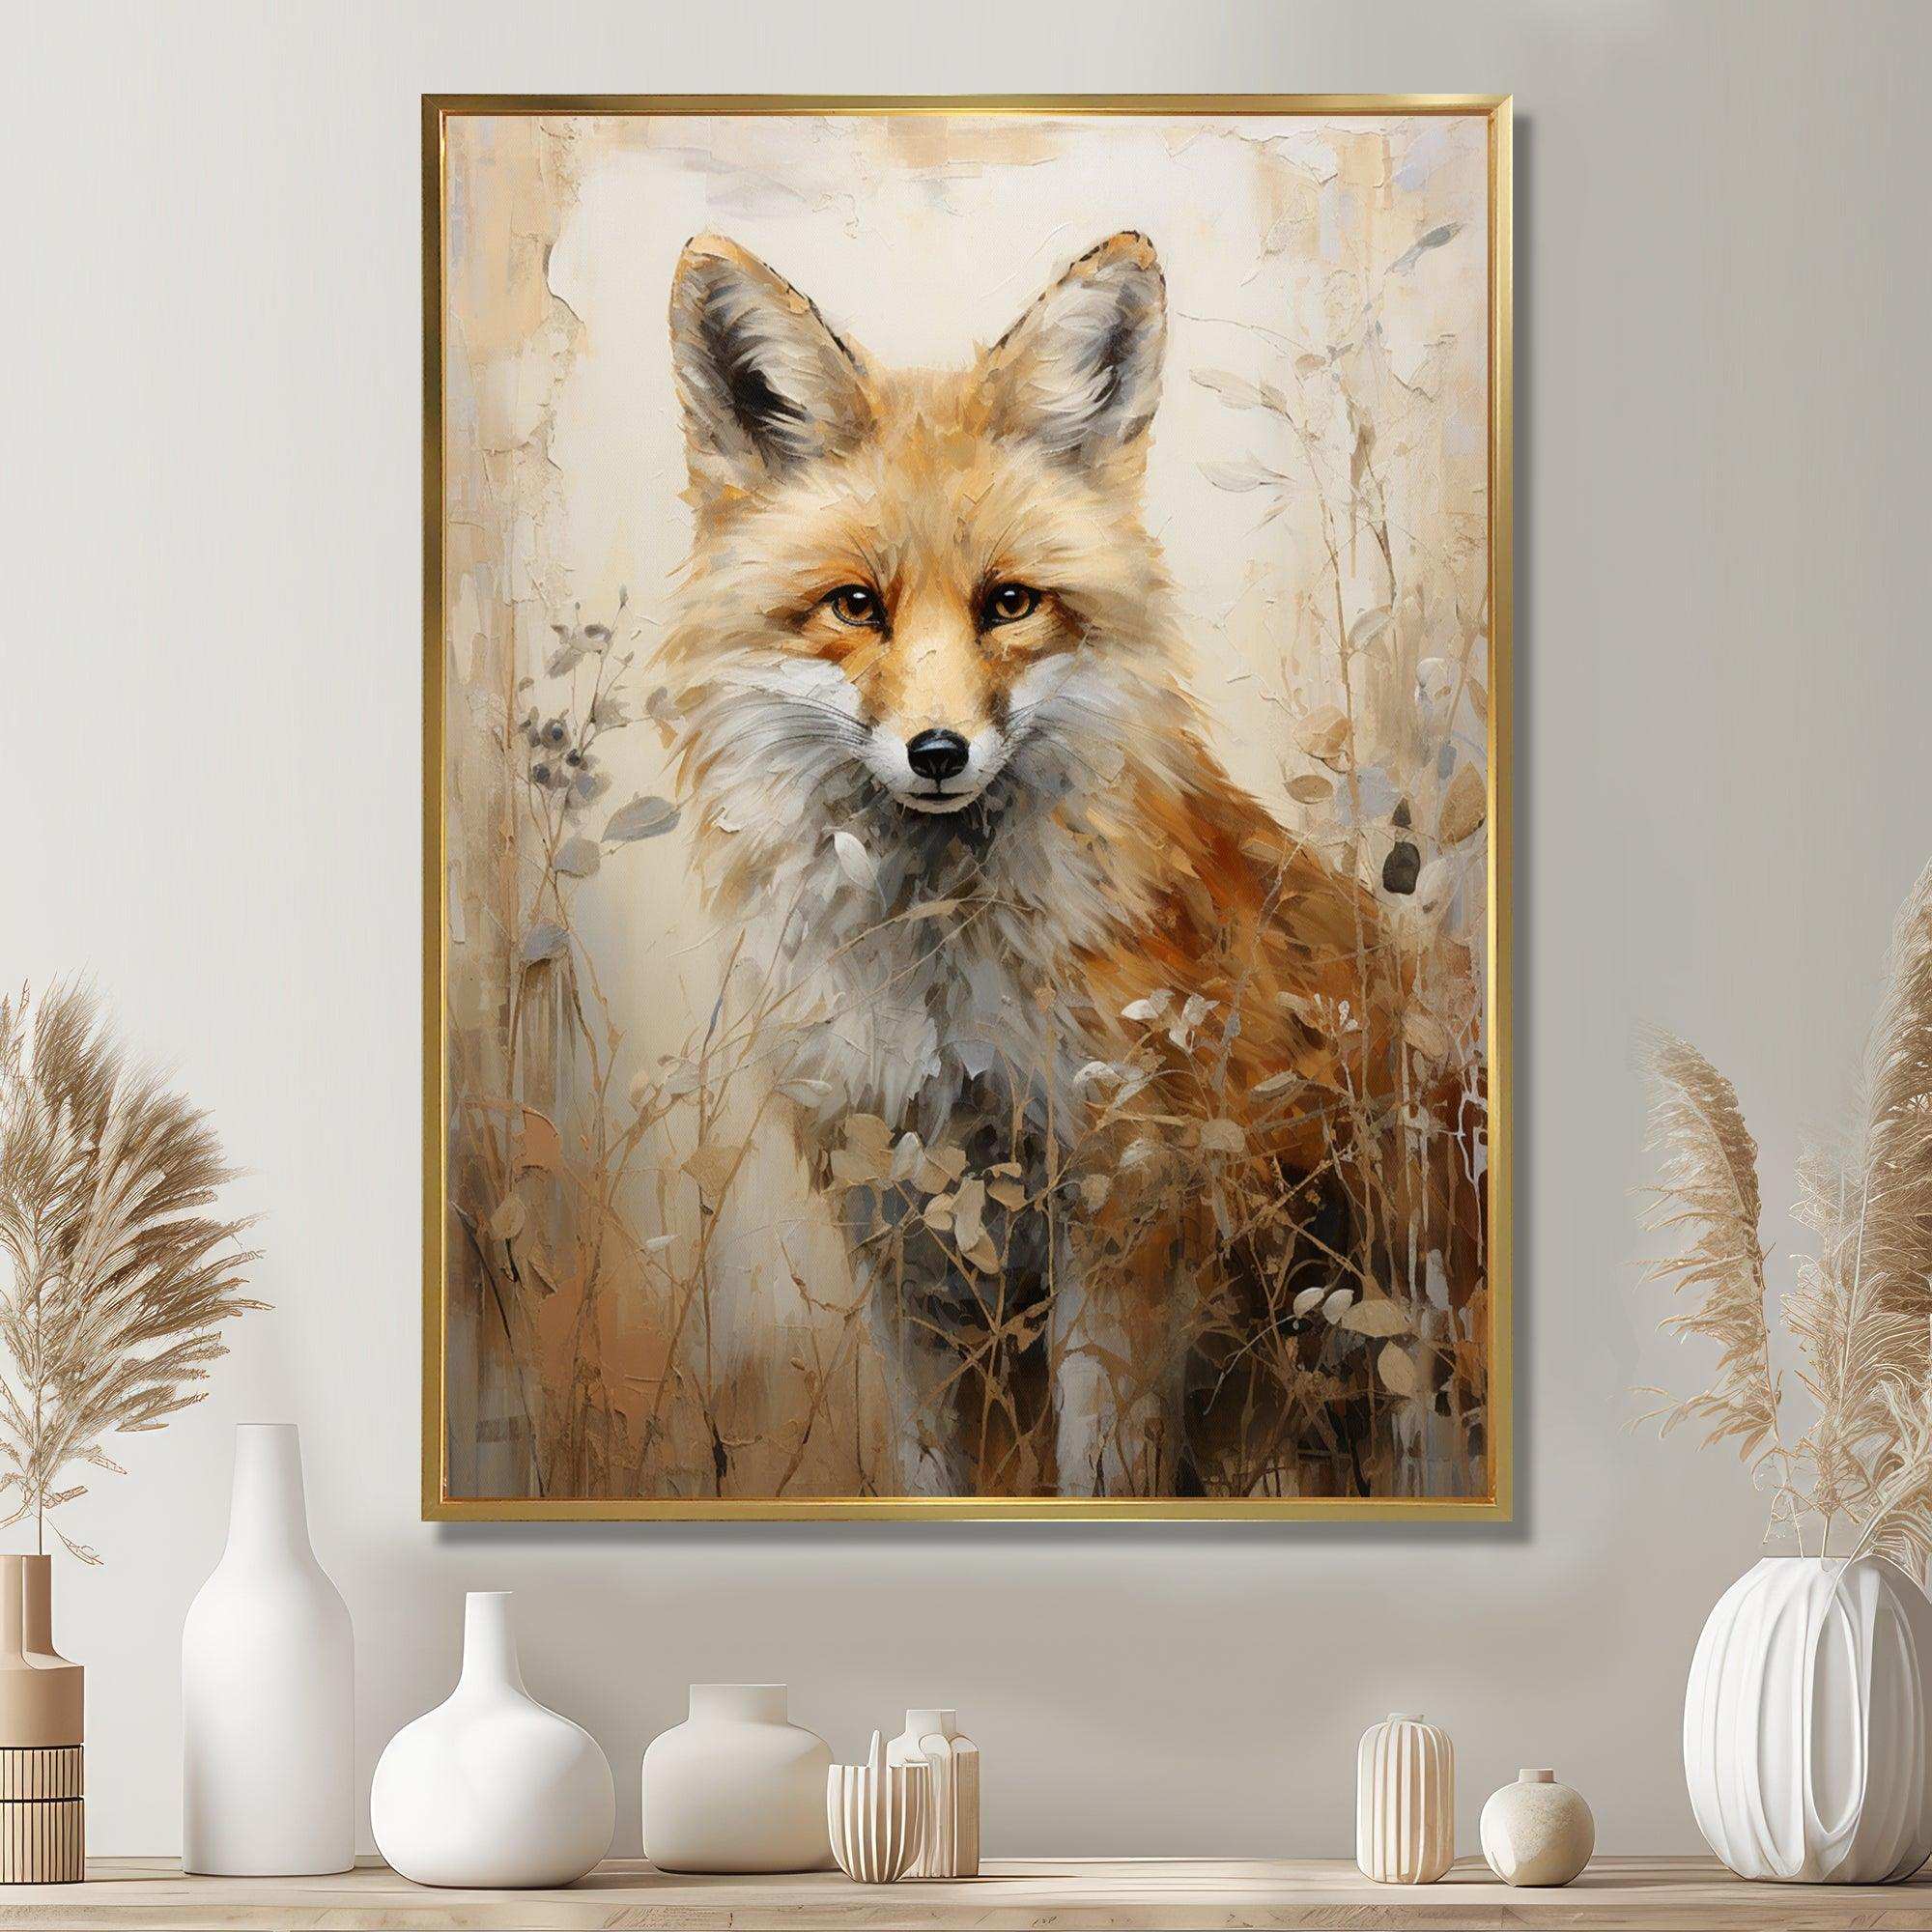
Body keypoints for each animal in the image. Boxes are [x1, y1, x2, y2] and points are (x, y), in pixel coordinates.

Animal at [658, 230, 1473, 1498]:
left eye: (1008, 603)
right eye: (855, 605)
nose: (937, 752)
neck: (940, 982)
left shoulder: (1122, 1204)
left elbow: (1103, 1463)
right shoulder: (900, 1225)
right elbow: (928, 1463)